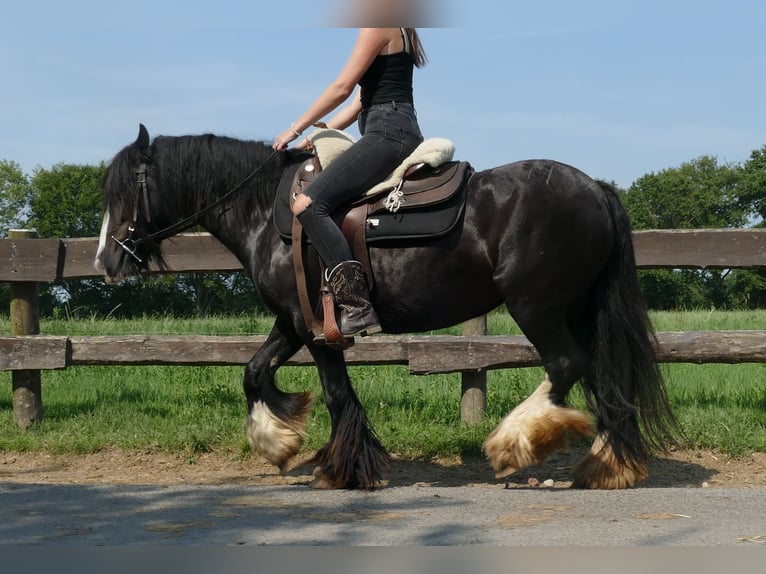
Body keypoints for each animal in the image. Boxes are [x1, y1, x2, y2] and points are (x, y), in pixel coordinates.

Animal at [94, 126, 680, 490]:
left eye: (124, 193)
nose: (106, 260)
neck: (268, 212)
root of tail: (595, 188)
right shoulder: (293, 320)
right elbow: (254, 372)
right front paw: (279, 442)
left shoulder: (317, 329)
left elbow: (336, 394)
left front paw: (342, 469)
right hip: (578, 309)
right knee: (602, 375)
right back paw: (609, 466)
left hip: (536, 306)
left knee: (566, 366)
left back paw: (515, 444)